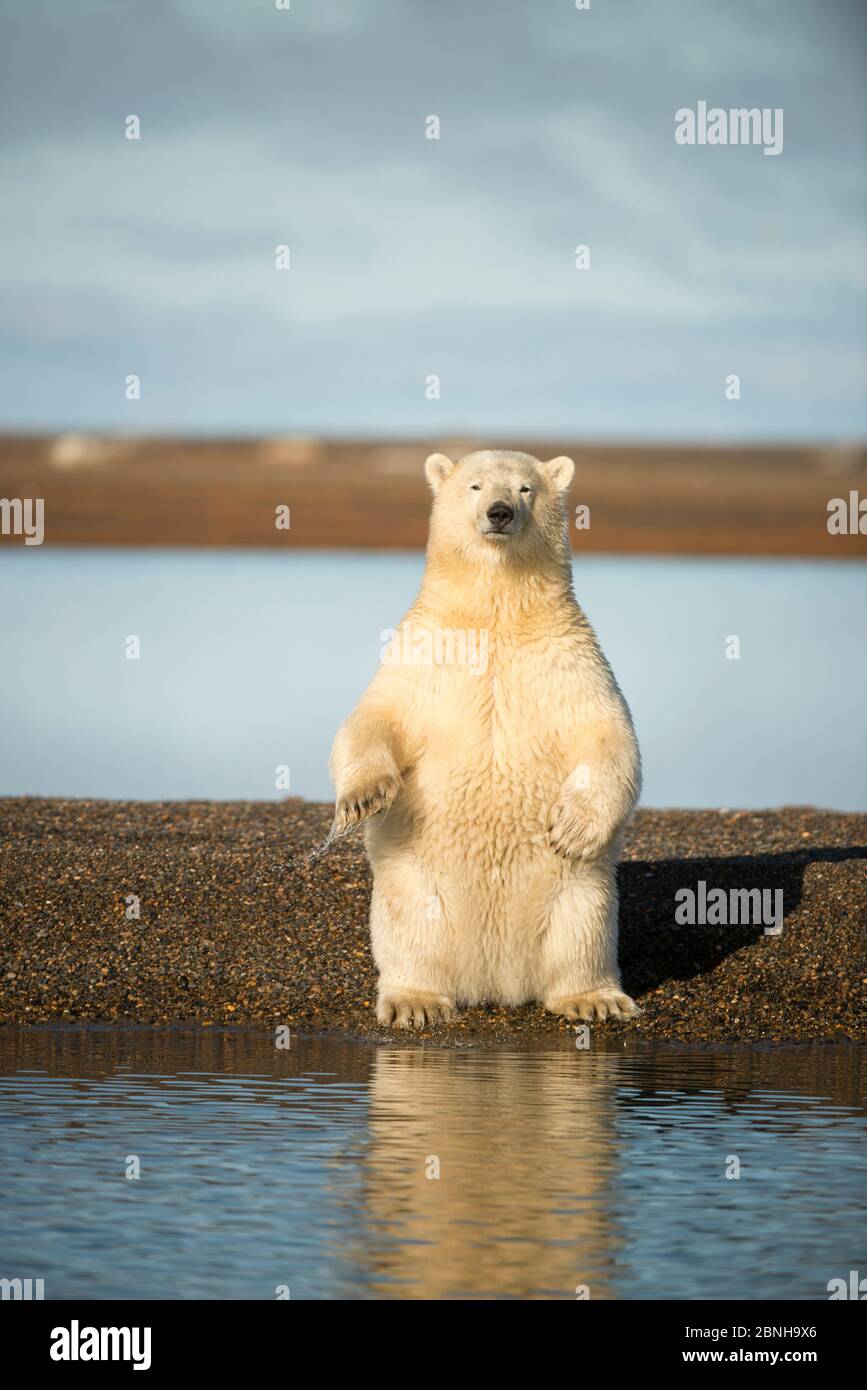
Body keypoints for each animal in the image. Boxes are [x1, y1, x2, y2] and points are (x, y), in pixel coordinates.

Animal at [327, 450, 639, 1028]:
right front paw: (363, 798)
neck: (494, 614)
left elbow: (606, 730)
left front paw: (572, 829)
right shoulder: (423, 649)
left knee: (580, 937)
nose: (499, 512)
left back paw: (595, 998)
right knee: (412, 937)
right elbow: (376, 715)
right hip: (415, 891)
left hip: (580, 896)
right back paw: (415, 1001)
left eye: (525, 488)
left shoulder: (568, 657)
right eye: (474, 485)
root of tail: (498, 982)